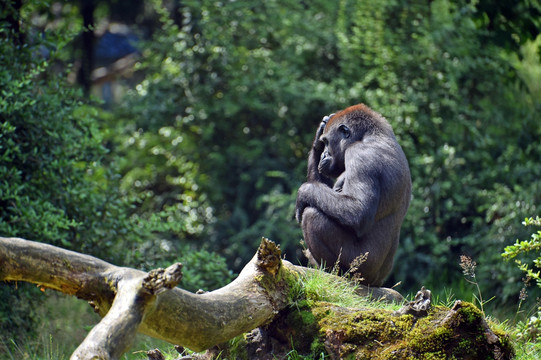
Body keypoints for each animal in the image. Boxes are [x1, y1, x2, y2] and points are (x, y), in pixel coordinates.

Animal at [296, 104, 410, 286]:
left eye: (328, 142)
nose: (323, 154)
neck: (370, 136)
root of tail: (375, 283)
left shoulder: (360, 154)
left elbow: (357, 212)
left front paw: (304, 191)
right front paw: (317, 138)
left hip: (361, 269)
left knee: (312, 216)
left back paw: (336, 273)